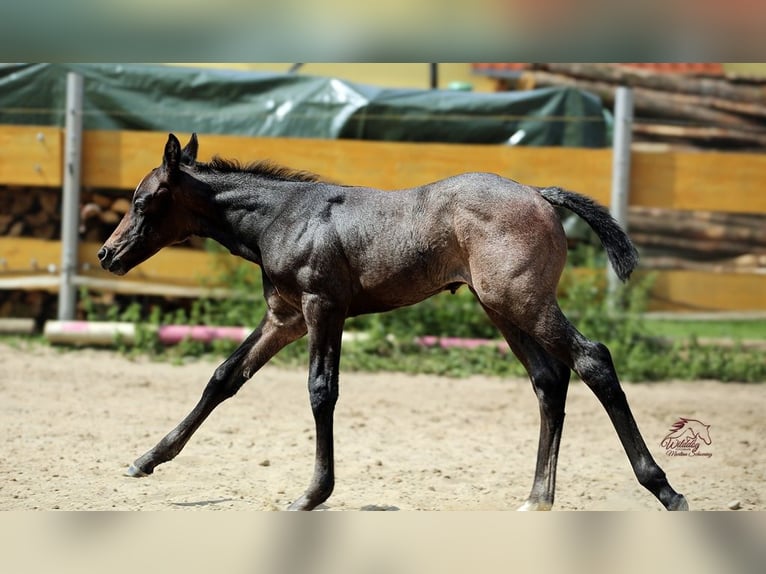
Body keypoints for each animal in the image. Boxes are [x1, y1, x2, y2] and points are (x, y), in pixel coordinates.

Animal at [97, 133, 688, 511]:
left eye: (143, 200)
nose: (106, 253)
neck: (281, 218)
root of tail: (540, 195)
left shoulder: (322, 308)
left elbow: (321, 391)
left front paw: (312, 494)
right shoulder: (284, 318)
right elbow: (224, 377)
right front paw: (147, 459)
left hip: (522, 301)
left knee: (593, 360)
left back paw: (664, 489)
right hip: (500, 306)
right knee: (549, 379)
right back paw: (537, 498)